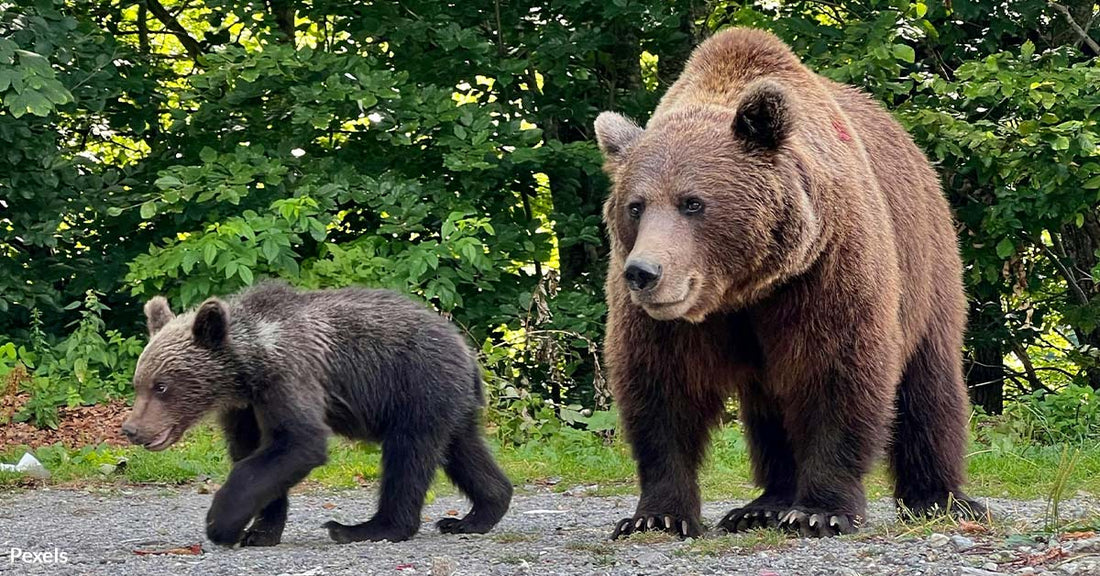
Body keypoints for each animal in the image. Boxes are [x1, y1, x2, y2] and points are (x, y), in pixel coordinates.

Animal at [598, 28, 985, 540]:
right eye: (636, 205)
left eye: (693, 202)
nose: (644, 273)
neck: (744, 287)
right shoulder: (671, 320)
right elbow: (662, 389)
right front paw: (656, 515)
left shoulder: (825, 269)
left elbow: (837, 371)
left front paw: (820, 510)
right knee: (771, 406)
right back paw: (762, 505)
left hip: (927, 265)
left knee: (929, 386)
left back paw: (940, 498)